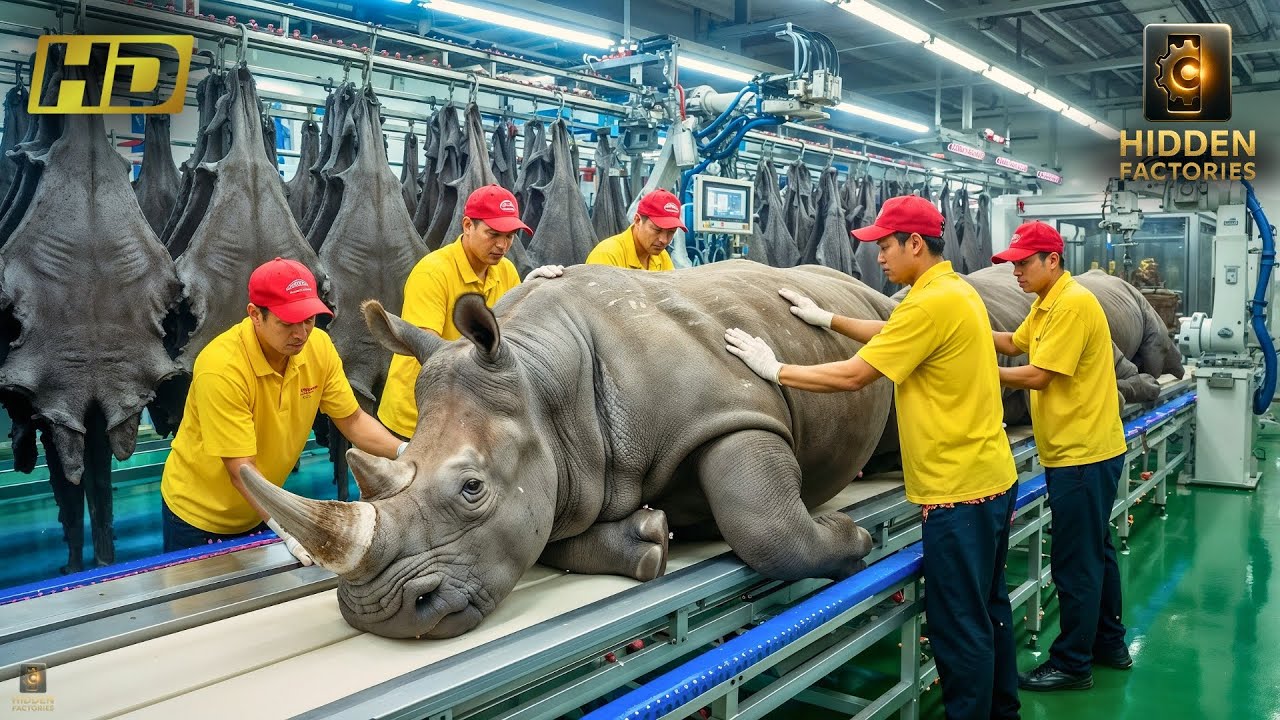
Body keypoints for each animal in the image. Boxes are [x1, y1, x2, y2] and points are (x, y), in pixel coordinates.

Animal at [241, 261, 894, 639]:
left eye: (472, 488)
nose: (379, 614)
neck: (546, 381)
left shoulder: (731, 412)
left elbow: (766, 524)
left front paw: (853, 538)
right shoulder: (559, 469)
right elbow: (551, 533)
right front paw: (650, 538)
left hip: (877, 312)